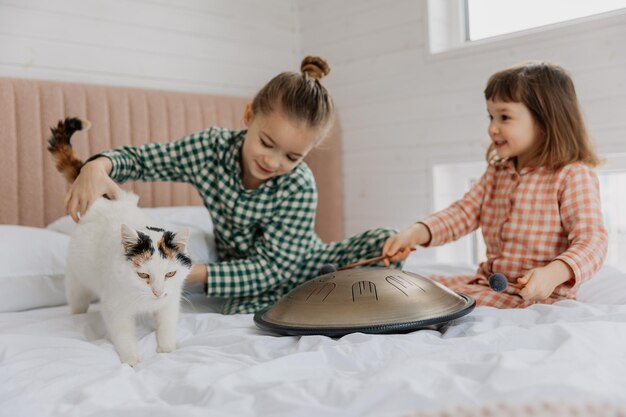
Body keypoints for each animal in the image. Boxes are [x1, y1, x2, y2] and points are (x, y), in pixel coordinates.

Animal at [48, 117, 191, 364]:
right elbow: (123, 334)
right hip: (76, 282)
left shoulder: (171, 301)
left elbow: (167, 323)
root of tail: (101, 202)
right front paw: (132, 360)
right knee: (77, 301)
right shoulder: (115, 308)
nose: (157, 292)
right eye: (143, 275)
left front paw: (166, 349)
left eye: (170, 274)